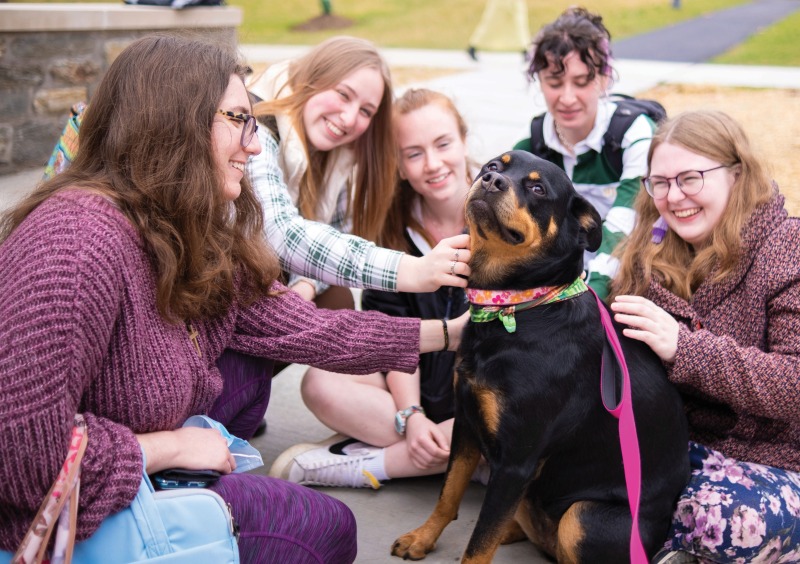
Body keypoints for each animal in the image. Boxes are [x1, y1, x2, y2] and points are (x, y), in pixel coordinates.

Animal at [392, 150, 688, 564]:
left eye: (537, 189)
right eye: (493, 166)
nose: (490, 181)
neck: (517, 307)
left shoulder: (515, 463)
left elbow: (478, 544)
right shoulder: (466, 422)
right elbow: (448, 494)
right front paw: (422, 537)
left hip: (583, 517)